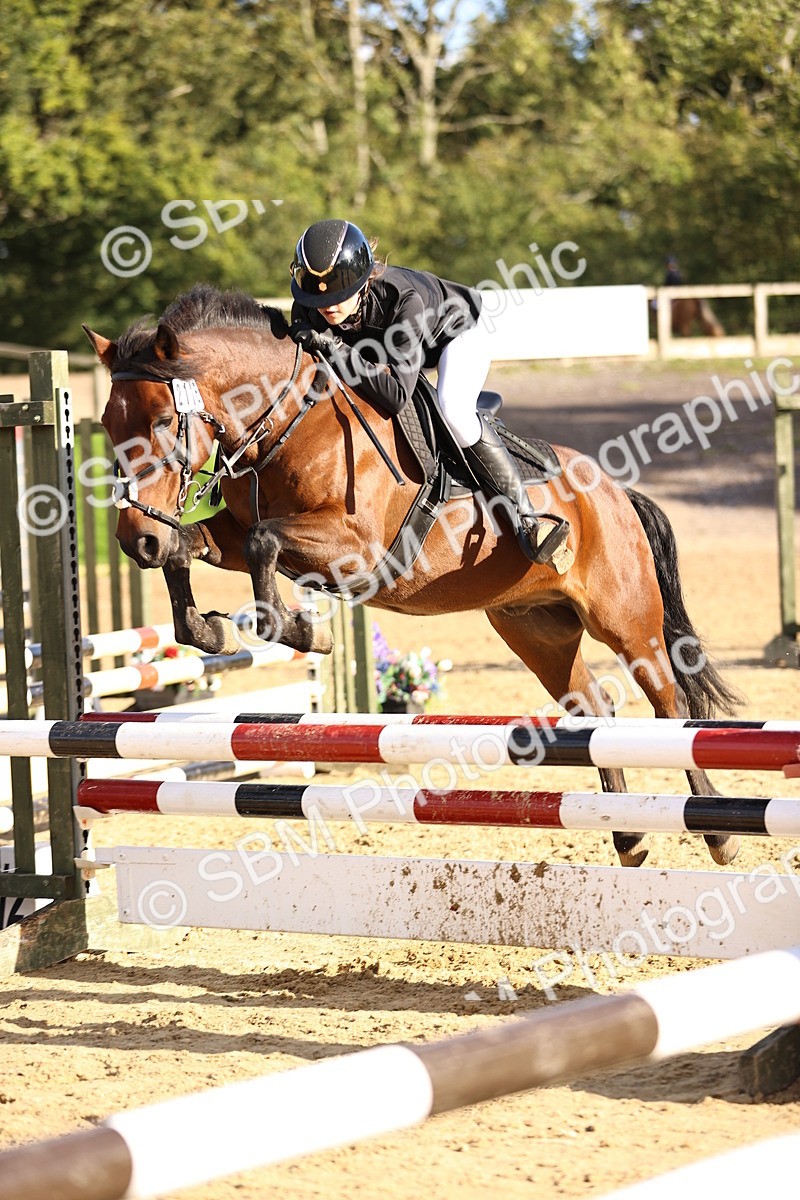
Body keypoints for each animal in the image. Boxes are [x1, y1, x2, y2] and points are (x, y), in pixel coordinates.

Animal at [84, 284, 741, 870]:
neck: (290, 422)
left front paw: (303, 631)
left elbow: (262, 540)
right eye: (108, 425)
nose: (134, 540)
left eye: (163, 420)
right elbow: (193, 549)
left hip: (624, 618)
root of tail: (615, 492)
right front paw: (210, 629)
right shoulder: (240, 540)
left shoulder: (358, 547)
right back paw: (629, 838)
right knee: (595, 708)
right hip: (536, 630)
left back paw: (716, 832)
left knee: (668, 703)